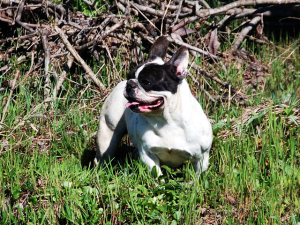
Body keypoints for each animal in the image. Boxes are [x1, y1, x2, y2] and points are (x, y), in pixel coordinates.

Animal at [95, 36, 212, 177]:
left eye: (146, 82)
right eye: (129, 76)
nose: (129, 83)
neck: (167, 120)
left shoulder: (201, 158)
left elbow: (196, 176)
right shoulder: (148, 155)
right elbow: (157, 175)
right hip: (108, 133)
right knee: (104, 154)